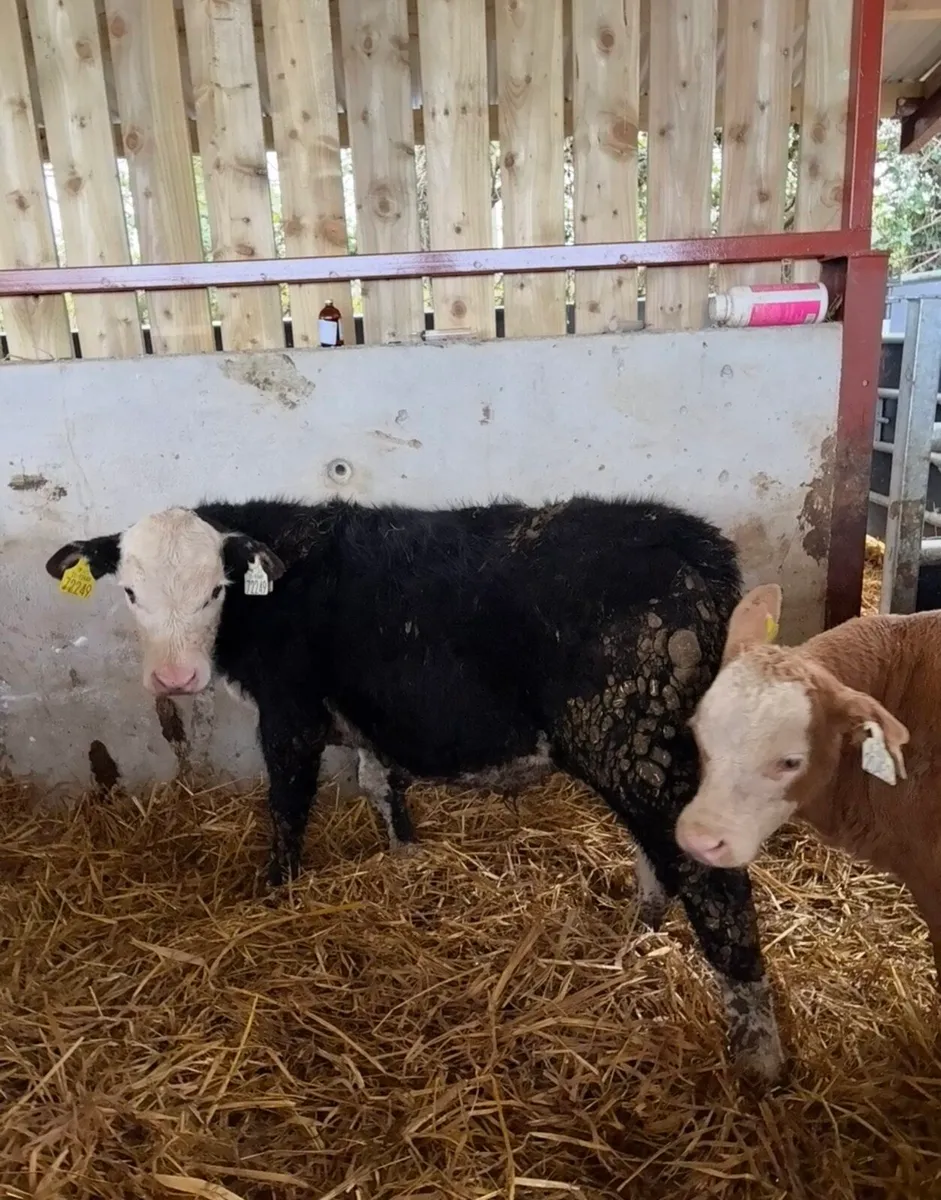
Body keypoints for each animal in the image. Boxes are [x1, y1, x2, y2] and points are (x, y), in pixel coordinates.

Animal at [46, 494, 783, 1082]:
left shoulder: (289, 717)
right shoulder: (372, 720)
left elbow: (286, 808)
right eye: (130, 593)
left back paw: (759, 1052)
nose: (174, 679)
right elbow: (379, 784)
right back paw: (637, 933)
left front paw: (275, 894)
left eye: (216, 590)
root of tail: (696, 546)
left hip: (632, 740)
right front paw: (406, 858)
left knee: (709, 880)